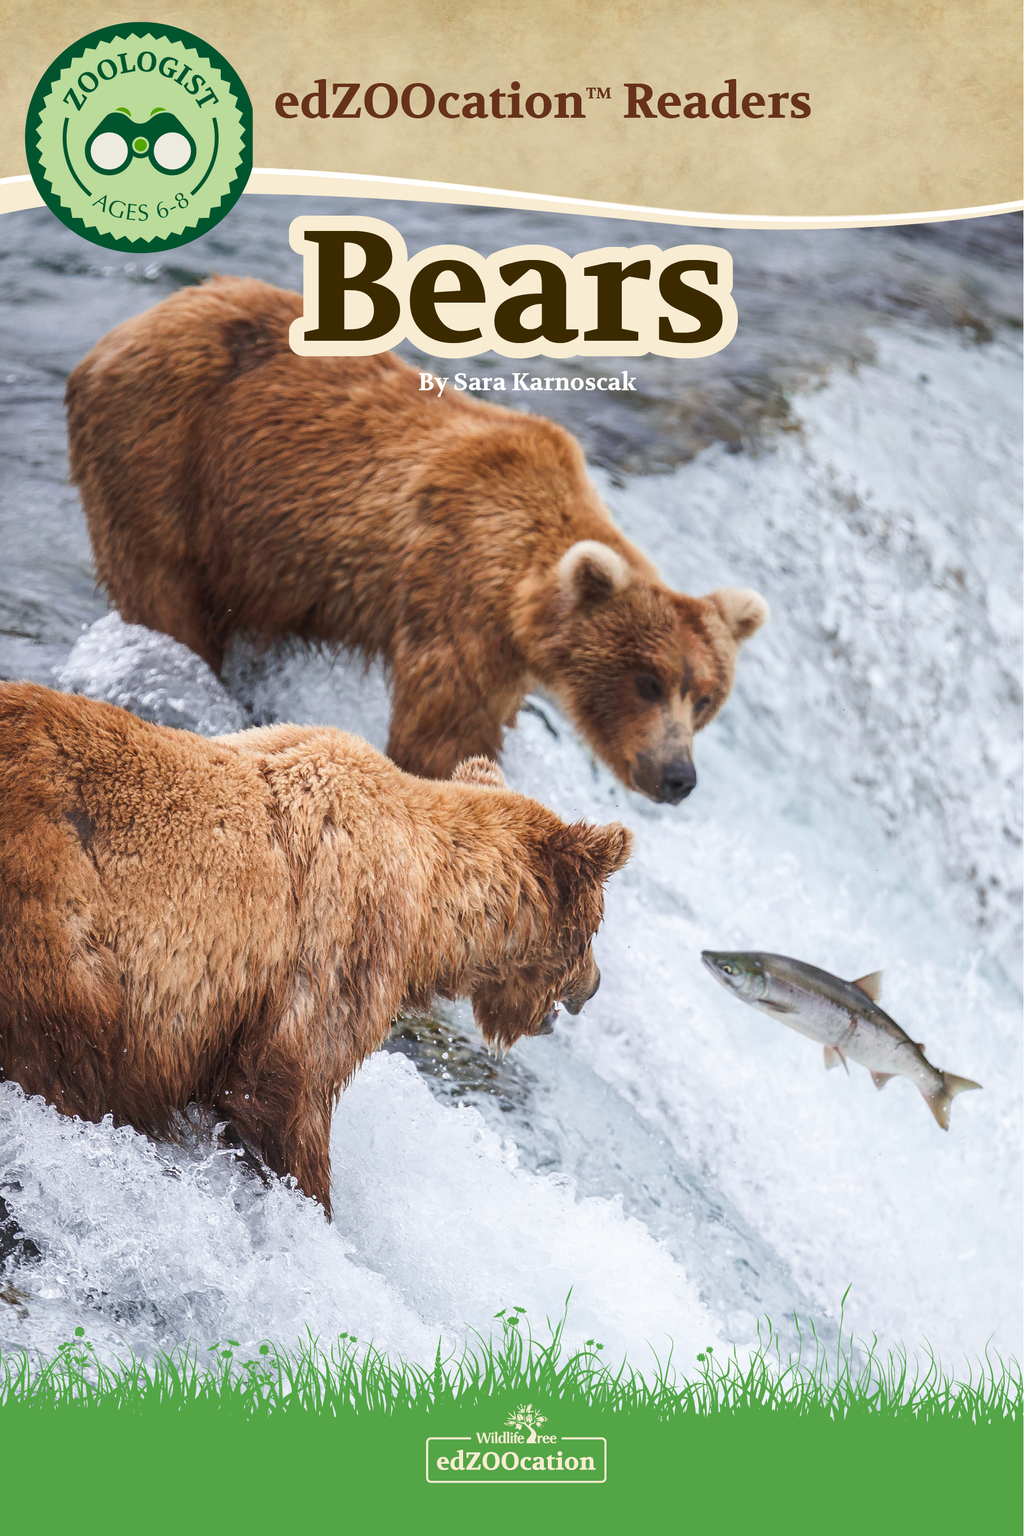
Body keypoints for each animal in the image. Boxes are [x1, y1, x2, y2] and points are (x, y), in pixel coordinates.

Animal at [0, 682, 631, 1218]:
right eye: (594, 929)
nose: (595, 984)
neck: (429, 913)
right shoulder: (339, 946)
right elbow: (286, 1096)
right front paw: (315, 1205)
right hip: (59, 926)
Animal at [66, 275, 768, 804]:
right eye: (647, 681)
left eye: (705, 697)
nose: (678, 776)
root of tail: (128, 328)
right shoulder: (458, 601)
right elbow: (439, 737)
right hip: (165, 458)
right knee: (163, 592)